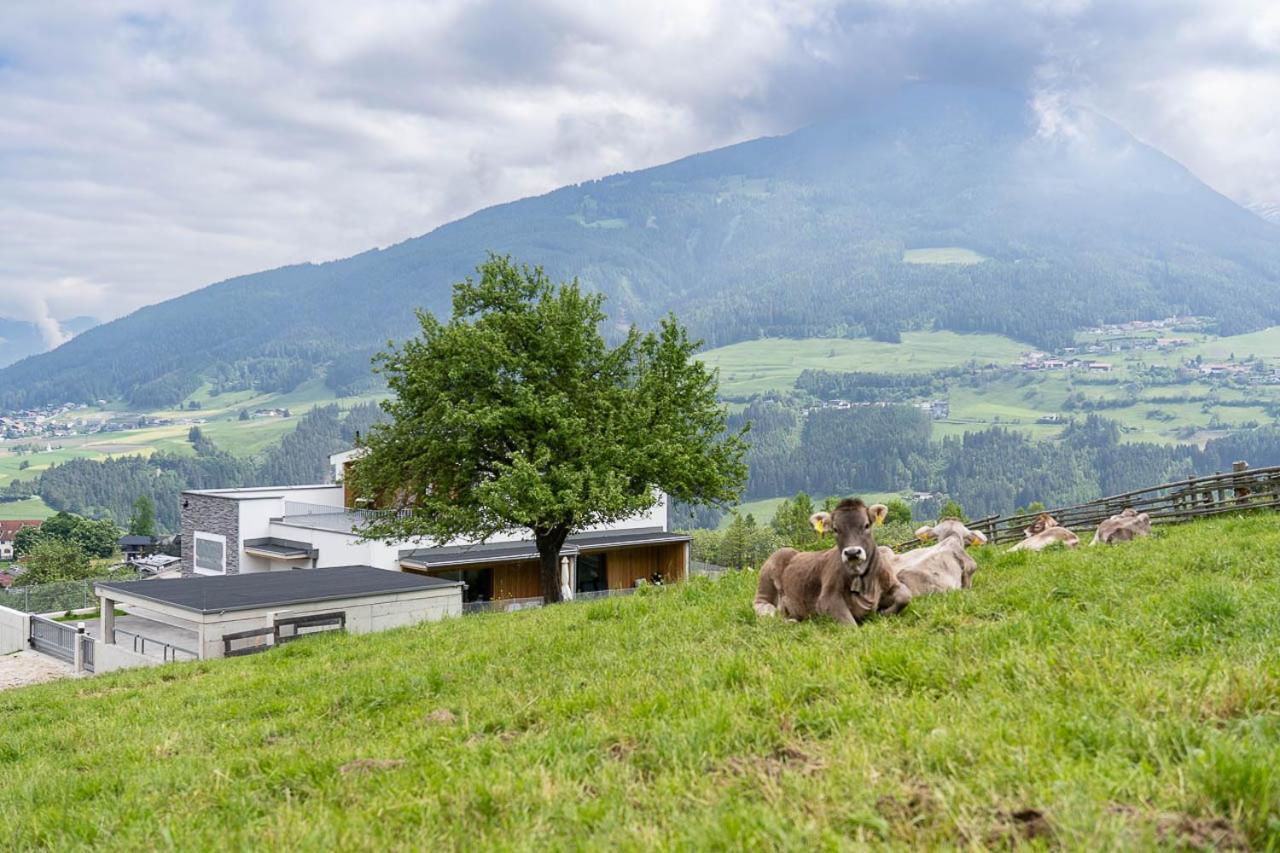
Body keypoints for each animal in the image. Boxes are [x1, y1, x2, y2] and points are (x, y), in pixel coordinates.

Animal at [747, 499, 911, 625]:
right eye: (835, 529)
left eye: (866, 525)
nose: (852, 552)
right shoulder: (827, 599)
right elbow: (850, 625)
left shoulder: (891, 581)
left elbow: (905, 595)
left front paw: (884, 612)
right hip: (771, 570)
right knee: (763, 607)